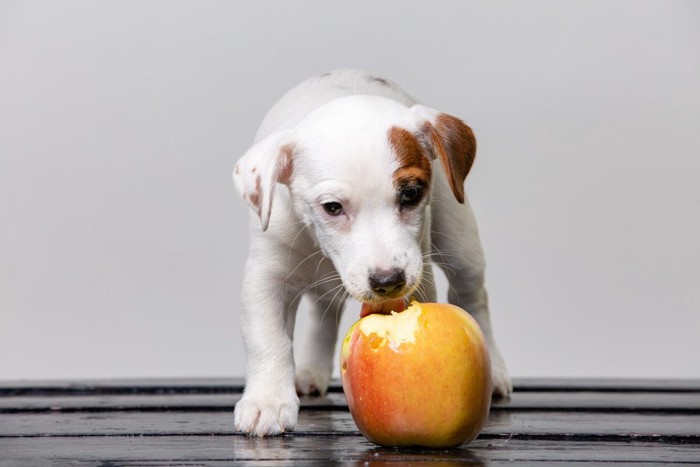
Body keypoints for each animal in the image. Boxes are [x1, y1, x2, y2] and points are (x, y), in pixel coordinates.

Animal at [232, 69, 512, 438]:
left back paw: (494, 369)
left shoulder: (419, 274)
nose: (387, 281)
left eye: (411, 193)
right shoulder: (265, 278)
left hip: (460, 241)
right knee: (323, 314)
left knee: (473, 295)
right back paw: (310, 371)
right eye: (332, 207)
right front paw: (267, 401)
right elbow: (267, 339)